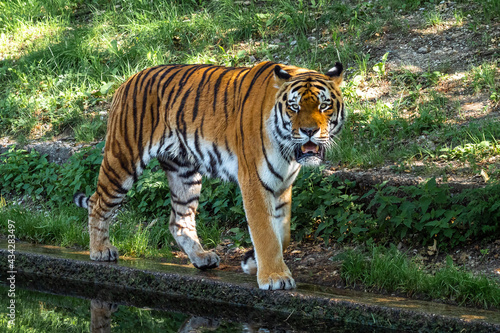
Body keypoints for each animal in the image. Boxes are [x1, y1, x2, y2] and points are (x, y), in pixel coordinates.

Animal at [73, 61, 344, 290]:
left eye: (324, 105)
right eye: (294, 106)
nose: (309, 131)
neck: (288, 152)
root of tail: (127, 81)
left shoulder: (282, 184)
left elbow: (283, 234)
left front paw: (253, 263)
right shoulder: (254, 181)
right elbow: (265, 232)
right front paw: (275, 277)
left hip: (185, 174)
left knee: (179, 220)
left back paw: (202, 258)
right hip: (123, 159)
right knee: (98, 202)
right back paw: (100, 250)